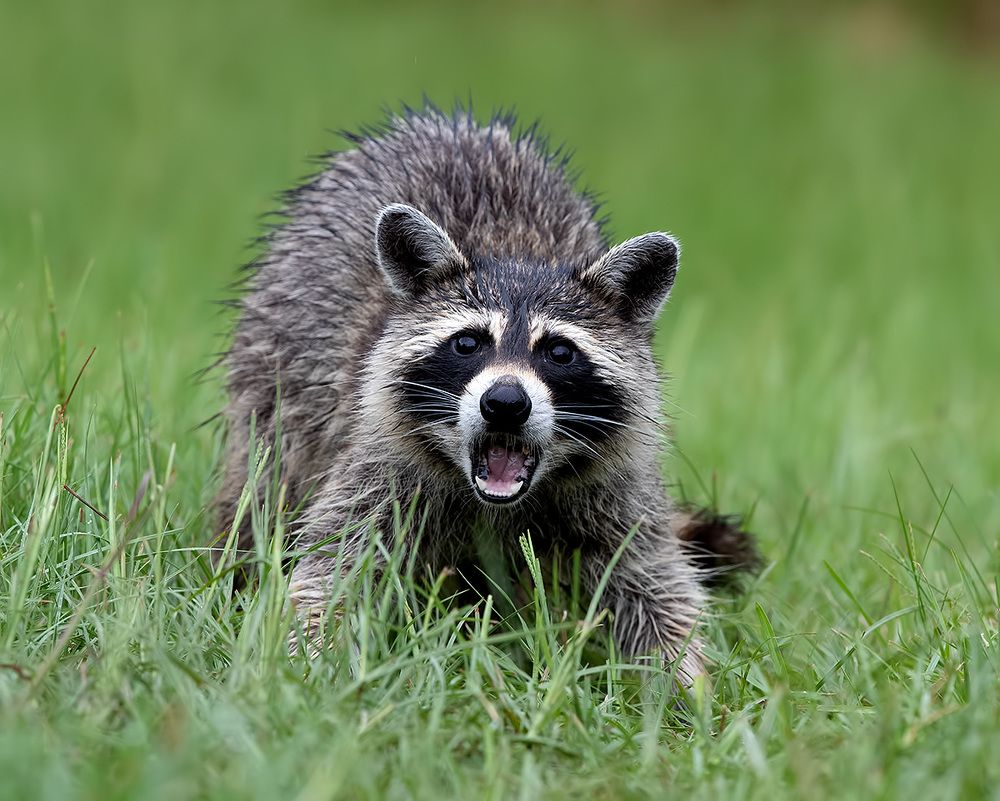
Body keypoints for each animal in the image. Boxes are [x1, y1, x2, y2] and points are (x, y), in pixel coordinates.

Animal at [218, 106, 758, 682]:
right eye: (468, 343)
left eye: (559, 352)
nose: (505, 403)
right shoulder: (377, 463)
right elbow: (333, 568)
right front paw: (308, 668)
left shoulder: (616, 486)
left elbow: (652, 583)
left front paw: (688, 686)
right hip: (275, 374)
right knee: (266, 479)